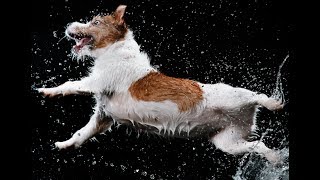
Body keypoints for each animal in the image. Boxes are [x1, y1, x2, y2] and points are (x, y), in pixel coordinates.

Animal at [37, 4, 282, 165]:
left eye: (95, 22)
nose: (69, 25)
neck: (115, 51)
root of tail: (248, 111)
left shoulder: (96, 81)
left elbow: (69, 84)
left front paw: (47, 91)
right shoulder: (103, 116)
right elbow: (82, 134)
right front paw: (65, 144)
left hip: (233, 97)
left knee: (256, 95)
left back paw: (274, 103)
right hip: (228, 142)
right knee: (258, 145)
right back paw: (275, 158)